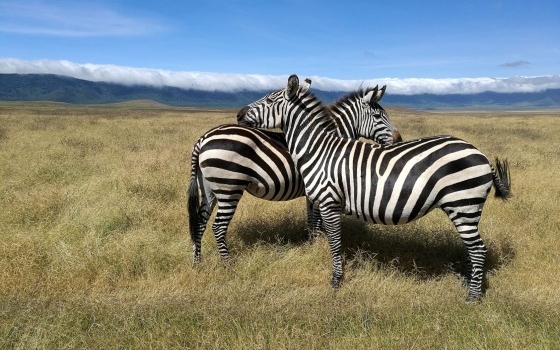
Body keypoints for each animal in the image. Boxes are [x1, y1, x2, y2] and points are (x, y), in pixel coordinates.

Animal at [188, 80, 402, 264]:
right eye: (378, 117)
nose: (399, 140)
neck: (328, 141)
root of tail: (204, 138)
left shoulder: (313, 191)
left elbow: (312, 220)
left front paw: (312, 243)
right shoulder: (323, 187)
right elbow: (317, 220)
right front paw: (319, 244)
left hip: (209, 187)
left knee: (200, 222)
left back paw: (197, 262)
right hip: (229, 187)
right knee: (218, 226)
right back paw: (228, 265)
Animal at [236, 74, 512, 300]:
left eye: (269, 99)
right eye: (378, 115)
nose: (238, 114)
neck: (320, 150)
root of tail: (480, 153)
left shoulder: (328, 201)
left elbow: (334, 241)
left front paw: (336, 281)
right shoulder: (318, 201)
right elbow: (321, 233)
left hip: (464, 205)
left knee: (478, 249)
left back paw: (473, 297)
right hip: (464, 207)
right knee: (474, 249)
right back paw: (468, 283)